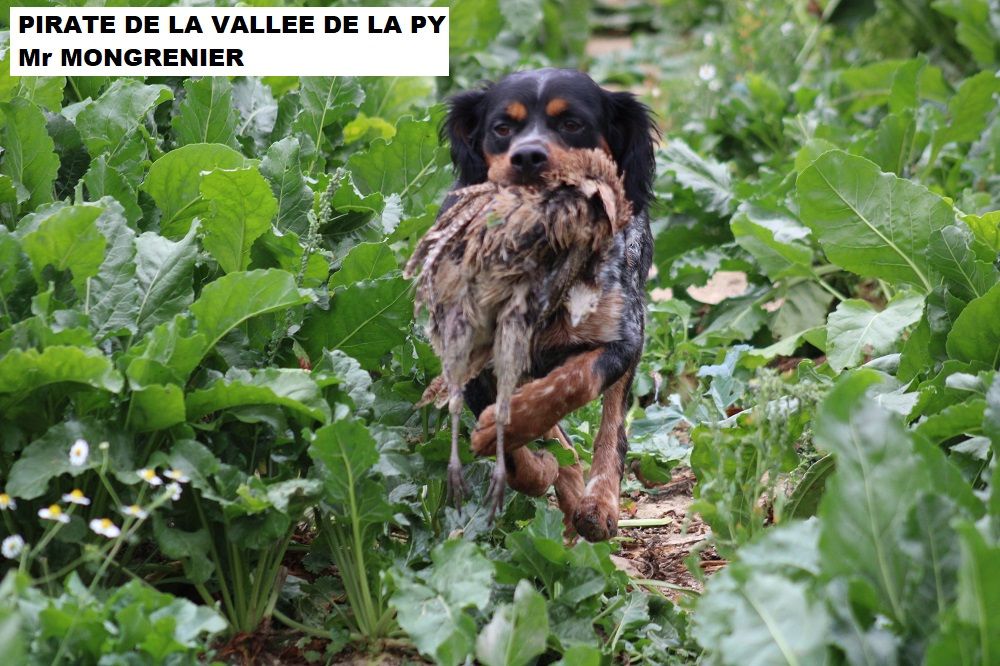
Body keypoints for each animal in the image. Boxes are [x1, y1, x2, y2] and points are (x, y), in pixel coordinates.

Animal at [436, 68, 656, 540]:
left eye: (572, 123)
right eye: (502, 128)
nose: (528, 157)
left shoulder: (622, 338)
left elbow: (573, 384)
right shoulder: (472, 358)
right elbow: (518, 457)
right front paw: (541, 467)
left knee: (612, 425)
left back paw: (597, 503)